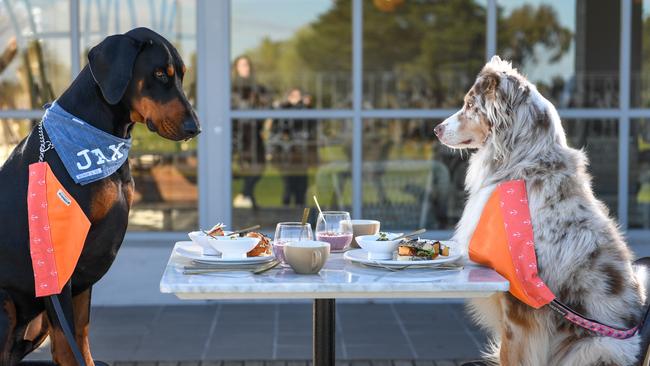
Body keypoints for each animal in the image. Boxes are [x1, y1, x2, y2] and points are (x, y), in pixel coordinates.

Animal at [0, 27, 200, 364]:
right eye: (160, 73)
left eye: (182, 76)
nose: (194, 128)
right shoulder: (59, 266)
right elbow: (68, 348)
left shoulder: (81, 278)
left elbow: (81, 339)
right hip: (6, 302)